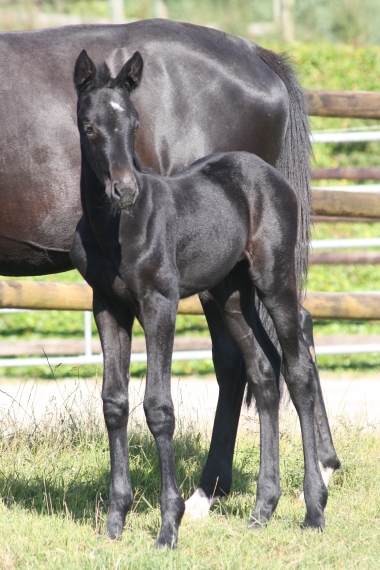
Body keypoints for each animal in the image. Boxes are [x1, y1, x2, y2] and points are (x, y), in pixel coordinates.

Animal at [71, 52, 330, 544]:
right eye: (89, 126)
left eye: (134, 123)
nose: (125, 190)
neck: (118, 228)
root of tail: (269, 174)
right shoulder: (108, 308)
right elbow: (114, 403)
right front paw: (115, 521)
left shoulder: (160, 303)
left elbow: (158, 407)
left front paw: (168, 526)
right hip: (231, 295)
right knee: (264, 373)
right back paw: (263, 508)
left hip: (274, 280)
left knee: (298, 371)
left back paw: (314, 507)